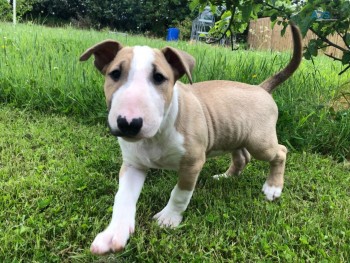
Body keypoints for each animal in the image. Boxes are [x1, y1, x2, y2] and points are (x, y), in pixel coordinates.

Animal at [80, 23, 304, 256]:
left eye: (159, 77)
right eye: (115, 74)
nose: (129, 123)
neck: (158, 134)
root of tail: (261, 88)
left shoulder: (192, 162)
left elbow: (180, 193)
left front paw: (168, 219)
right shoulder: (133, 164)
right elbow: (123, 197)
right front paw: (114, 233)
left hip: (259, 141)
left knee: (280, 152)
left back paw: (273, 188)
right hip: (234, 134)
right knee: (242, 157)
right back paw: (226, 177)